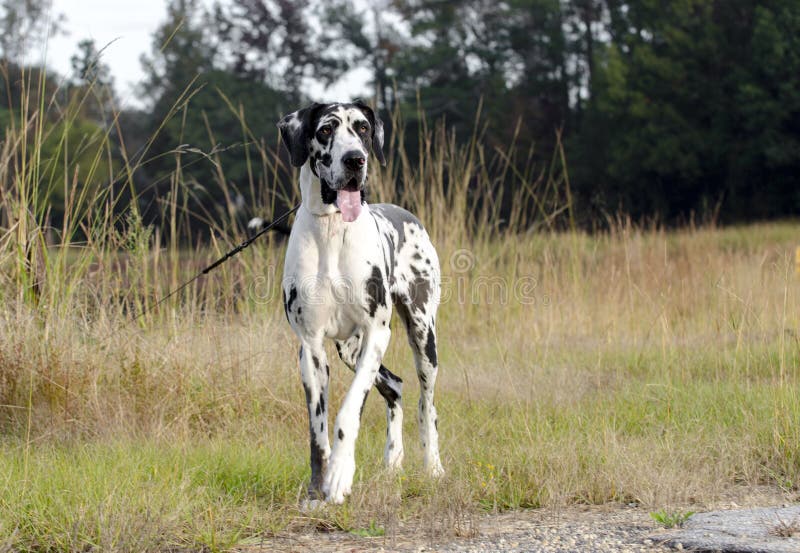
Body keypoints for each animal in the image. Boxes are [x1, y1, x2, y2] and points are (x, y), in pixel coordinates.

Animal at [272, 101, 440, 502]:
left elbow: (348, 412)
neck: (332, 230)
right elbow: (316, 431)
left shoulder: (378, 333)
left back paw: (433, 467)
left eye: (362, 128)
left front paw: (339, 475)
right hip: (349, 348)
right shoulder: (311, 348)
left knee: (427, 404)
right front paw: (317, 490)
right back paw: (393, 461)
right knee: (395, 385)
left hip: (423, 336)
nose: (355, 160)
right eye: (325, 130)